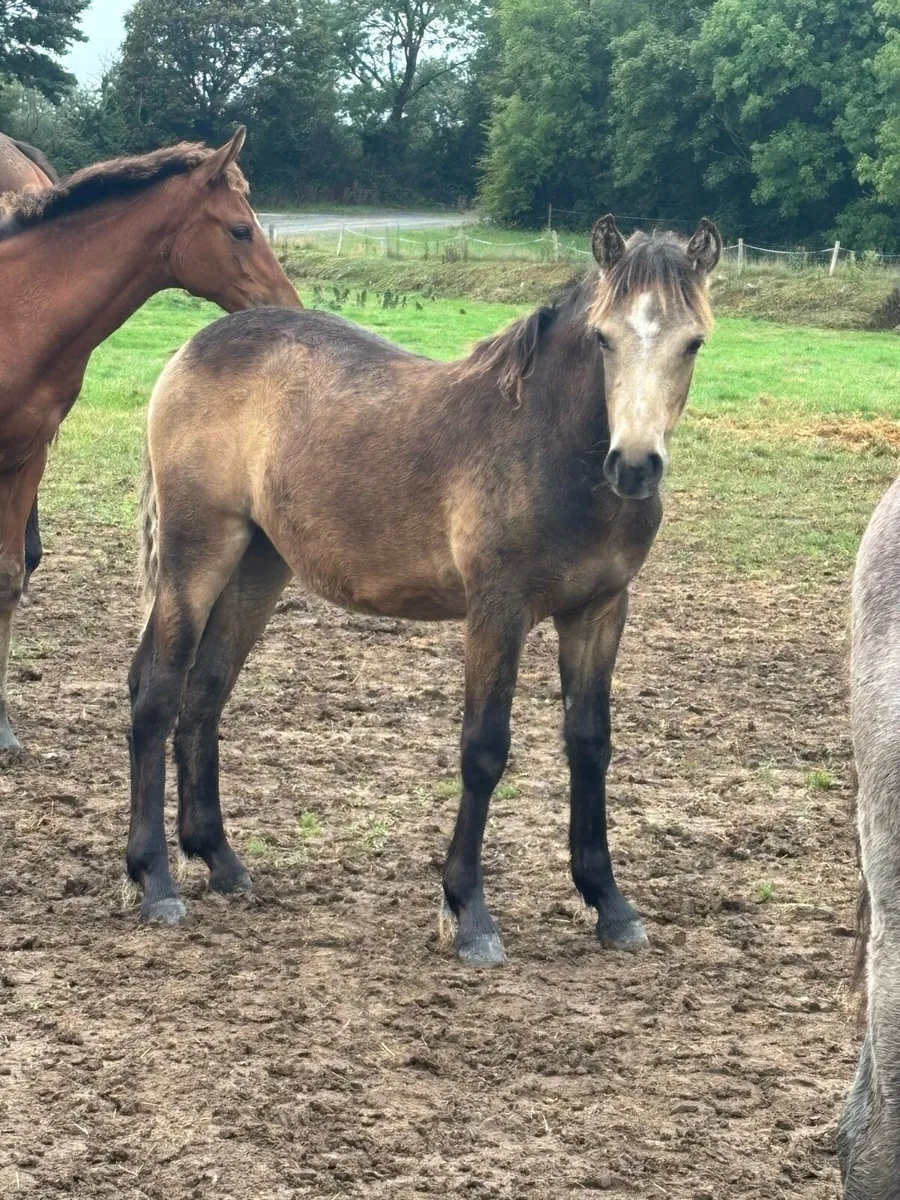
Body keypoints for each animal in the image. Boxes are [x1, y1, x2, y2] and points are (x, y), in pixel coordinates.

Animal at [0, 127, 300, 753]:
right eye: (240, 229)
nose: (288, 308)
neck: (15, 310)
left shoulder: (27, 457)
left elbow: (8, 577)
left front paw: (2, 727)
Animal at [127, 214, 721, 963]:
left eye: (693, 342)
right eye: (602, 338)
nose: (636, 465)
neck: (550, 446)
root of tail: (193, 349)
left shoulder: (599, 612)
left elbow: (590, 744)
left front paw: (609, 903)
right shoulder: (497, 609)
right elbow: (484, 748)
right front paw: (468, 913)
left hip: (256, 567)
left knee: (205, 695)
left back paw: (221, 861)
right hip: (197, 555)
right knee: (156, 691)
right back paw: (154, 880)